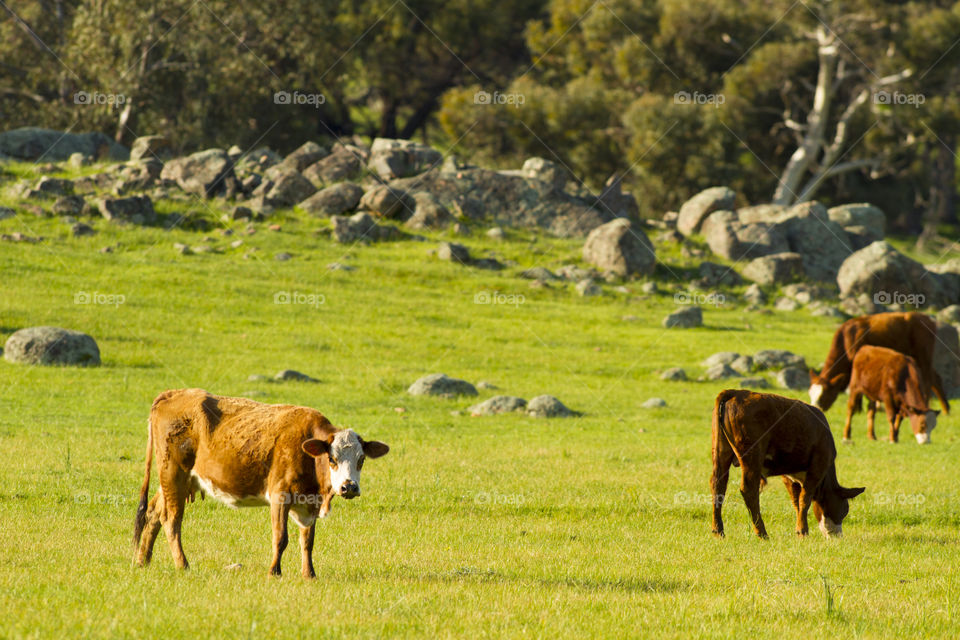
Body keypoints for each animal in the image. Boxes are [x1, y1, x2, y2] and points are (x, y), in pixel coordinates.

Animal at [132, 389, 389, 577]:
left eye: (361, 459)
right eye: (332, 459)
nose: (349, 487)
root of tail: (173, 393)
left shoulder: (308, 503)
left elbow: (307, 541)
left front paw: (309, 574)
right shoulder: (280, 496)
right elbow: (281, 537)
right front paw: (274, 571)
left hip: (178, 480)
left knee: (154, 512)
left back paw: (142, 560)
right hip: (174, 473)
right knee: (171, 520)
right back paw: (182, 564)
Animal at [710, 389, 864, 539]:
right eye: (844, 510)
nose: (839, 536)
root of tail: (737, 392)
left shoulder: (789, 475)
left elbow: (796, 500)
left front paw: (799, 529)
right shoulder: (818, 466)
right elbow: (805, 499)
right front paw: (803, 531)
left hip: (721, 451)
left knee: (718, 485)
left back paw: (718, 530)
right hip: (752, 455)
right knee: (749, 490)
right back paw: (762, 533)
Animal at [808, 311, 949, 415]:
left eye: (823, 395)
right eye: (810, 394)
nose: (815, 408)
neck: (845, 339)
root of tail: (927, 318)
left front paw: (859, 409)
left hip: (923, 355)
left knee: (929, 380)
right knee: (936, 378)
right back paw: (946, 409)